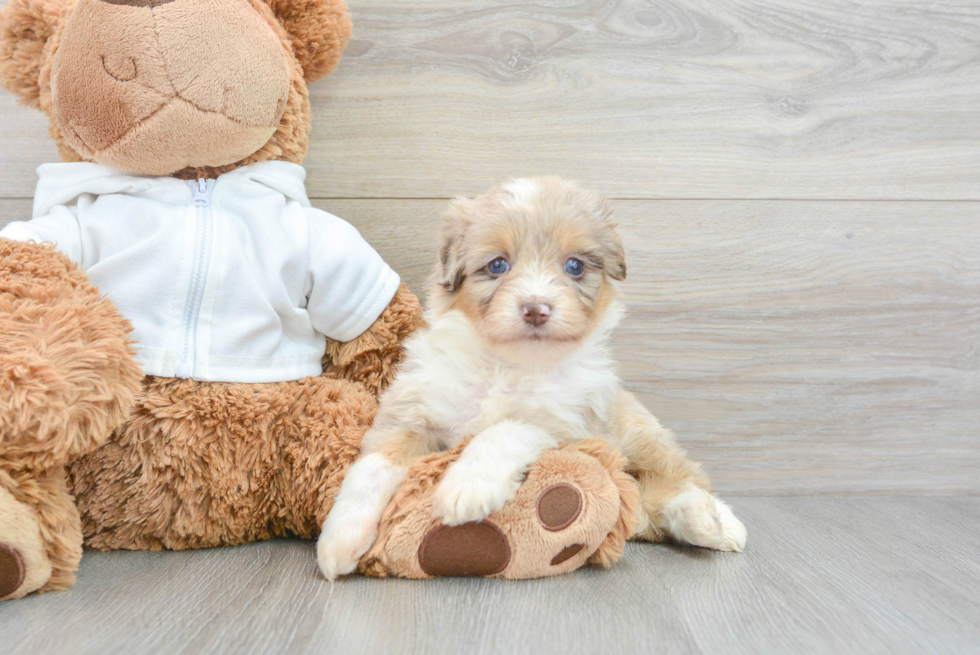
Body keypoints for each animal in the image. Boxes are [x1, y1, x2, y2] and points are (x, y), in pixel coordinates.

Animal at [318, 176, 748, 580]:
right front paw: (339, 539)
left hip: (638, 432)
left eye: (574, 266)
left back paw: (715, 522)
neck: (509, 363)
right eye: (497, 265)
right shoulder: (412, 409)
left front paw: (465, 487)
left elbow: (506, 429)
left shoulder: (570, 424)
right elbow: (372, 466)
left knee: (677, 478)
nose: (536, 309)